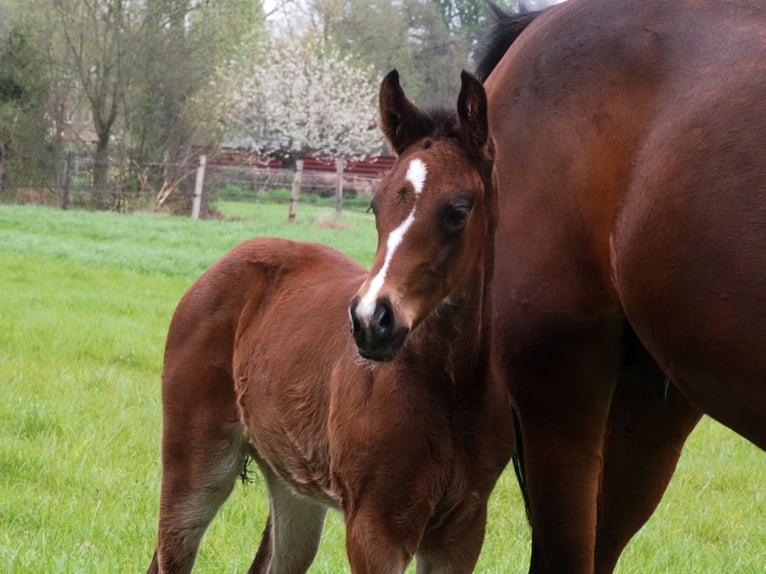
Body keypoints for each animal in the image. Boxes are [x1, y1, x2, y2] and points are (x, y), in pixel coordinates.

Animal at [146, 70, 515, 573]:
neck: (448, 390)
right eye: (376, 206)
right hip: (197, 463)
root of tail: (225, 262)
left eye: (458, 212)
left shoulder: (463, 530)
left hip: (292, 484)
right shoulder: (374, 527)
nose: (371, 321)